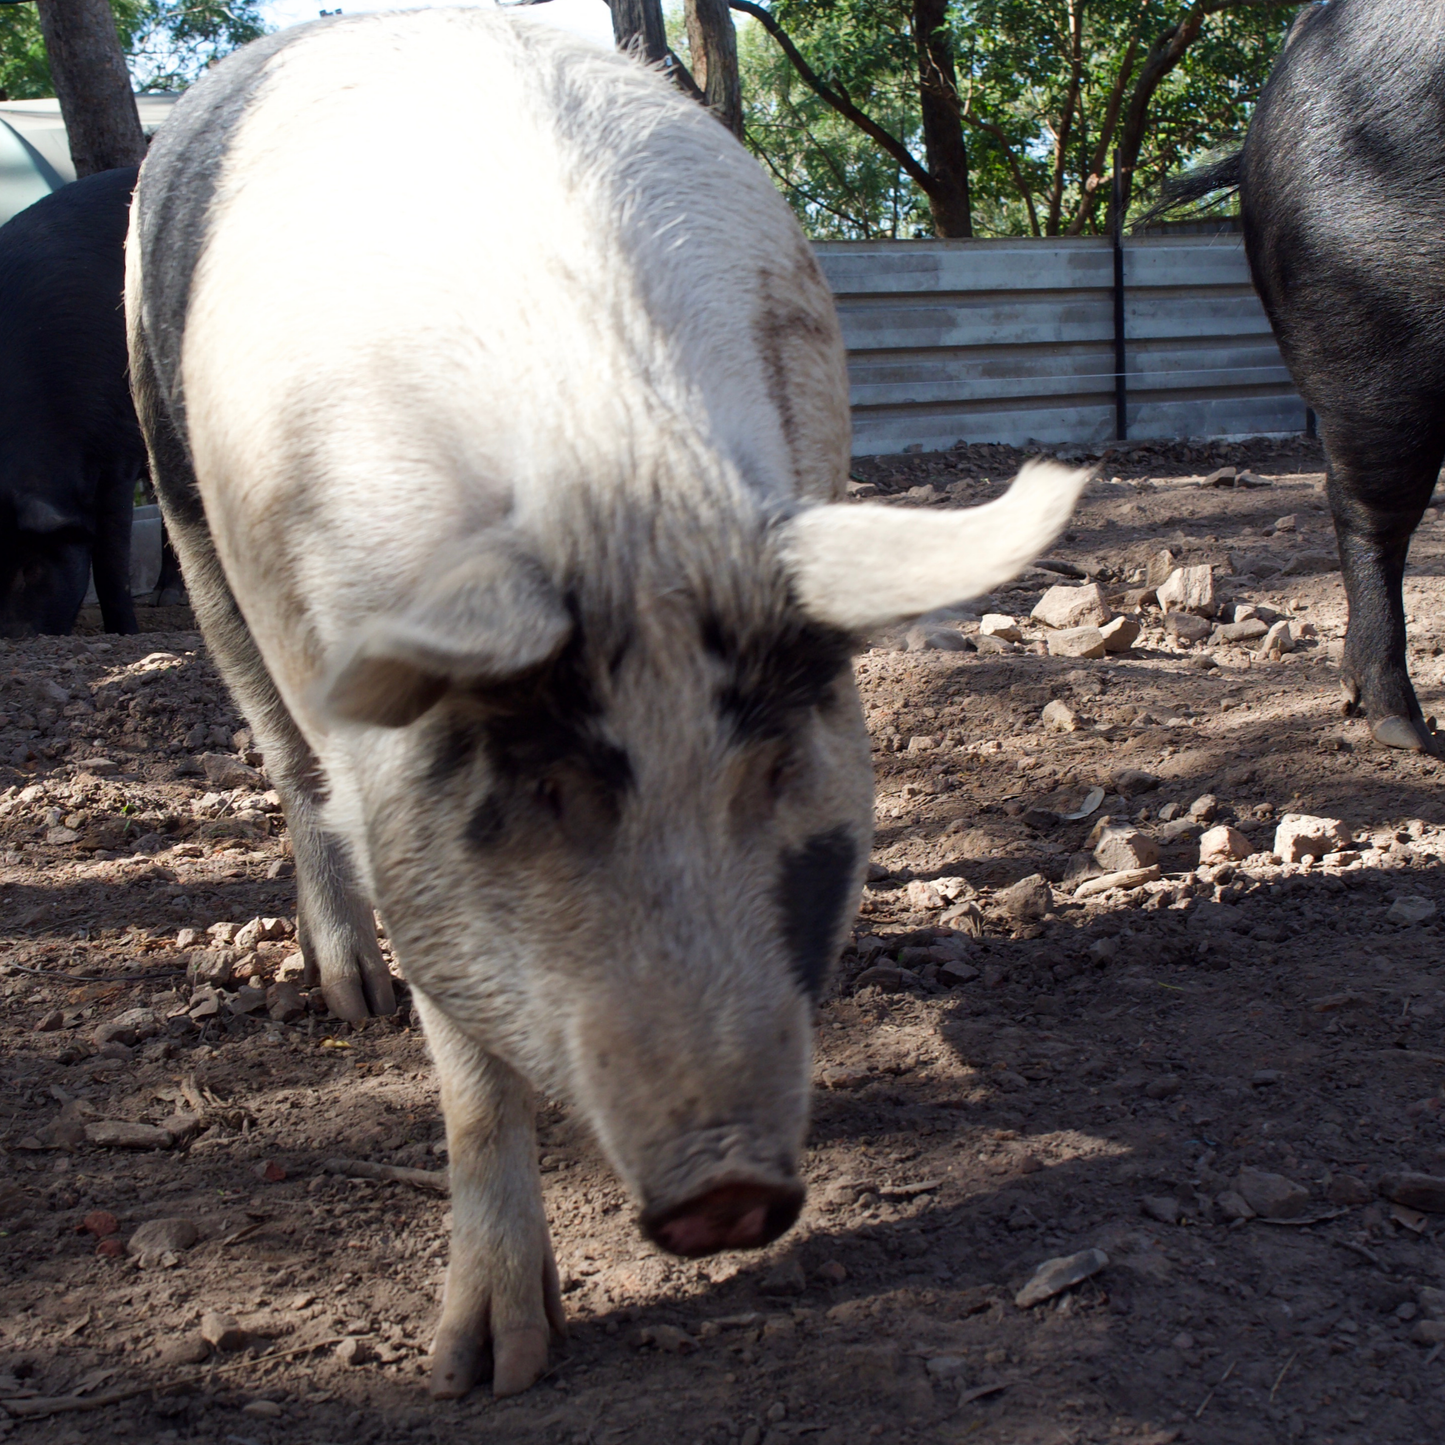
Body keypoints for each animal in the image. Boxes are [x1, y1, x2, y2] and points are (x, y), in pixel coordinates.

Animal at [126, 10, 1085, 1399]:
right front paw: (484, 1369)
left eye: (771, 761)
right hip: (185, 512)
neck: (610, 473)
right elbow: (467, 1063)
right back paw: (348, 997)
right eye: (541, 780)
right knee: (282, 761)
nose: (727, 1191)